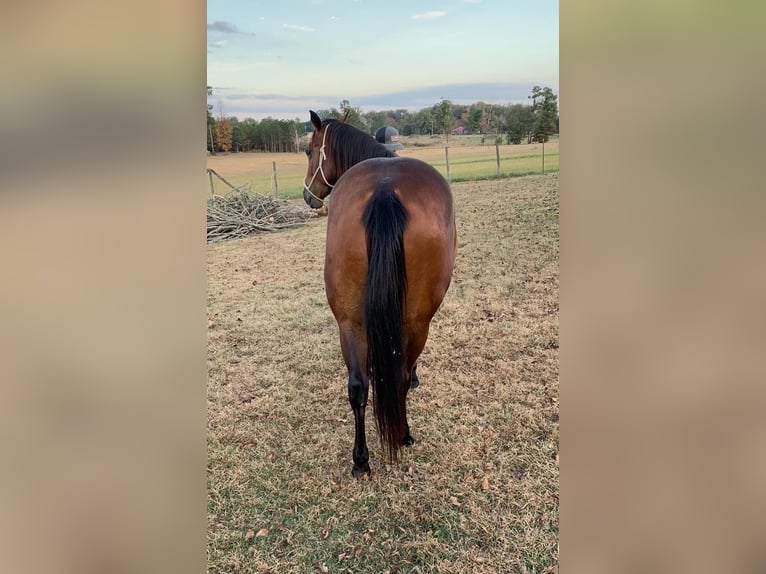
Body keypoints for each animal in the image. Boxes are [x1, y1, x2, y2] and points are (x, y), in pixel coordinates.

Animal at [304, 110, 460, 480]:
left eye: (308, 151)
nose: (307, 196)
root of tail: (385, 189)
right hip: (417, 321)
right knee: (400, 374)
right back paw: (403, 434)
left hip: (349, 321)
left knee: (357, 387)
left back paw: (360, 459)